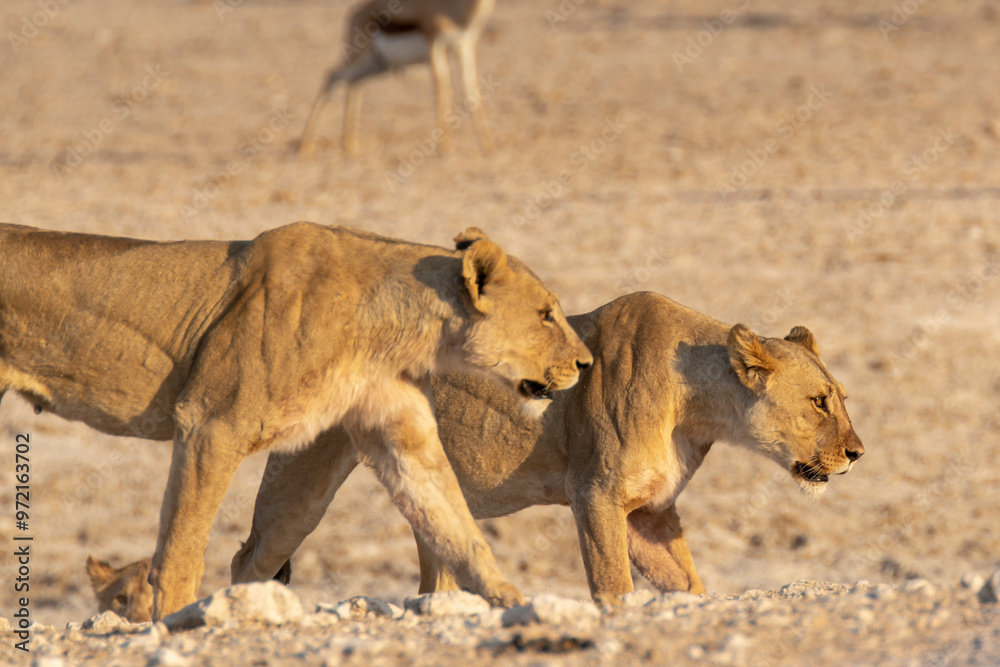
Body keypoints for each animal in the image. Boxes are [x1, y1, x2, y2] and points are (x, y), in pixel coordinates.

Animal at [0, 221, 592, 619]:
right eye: (546, 314)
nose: (586, 364)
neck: (395, 327)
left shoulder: (400, 432)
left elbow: (455, 522)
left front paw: (512, 602)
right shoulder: (210, 422)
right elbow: (182, 546)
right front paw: (170, 622)